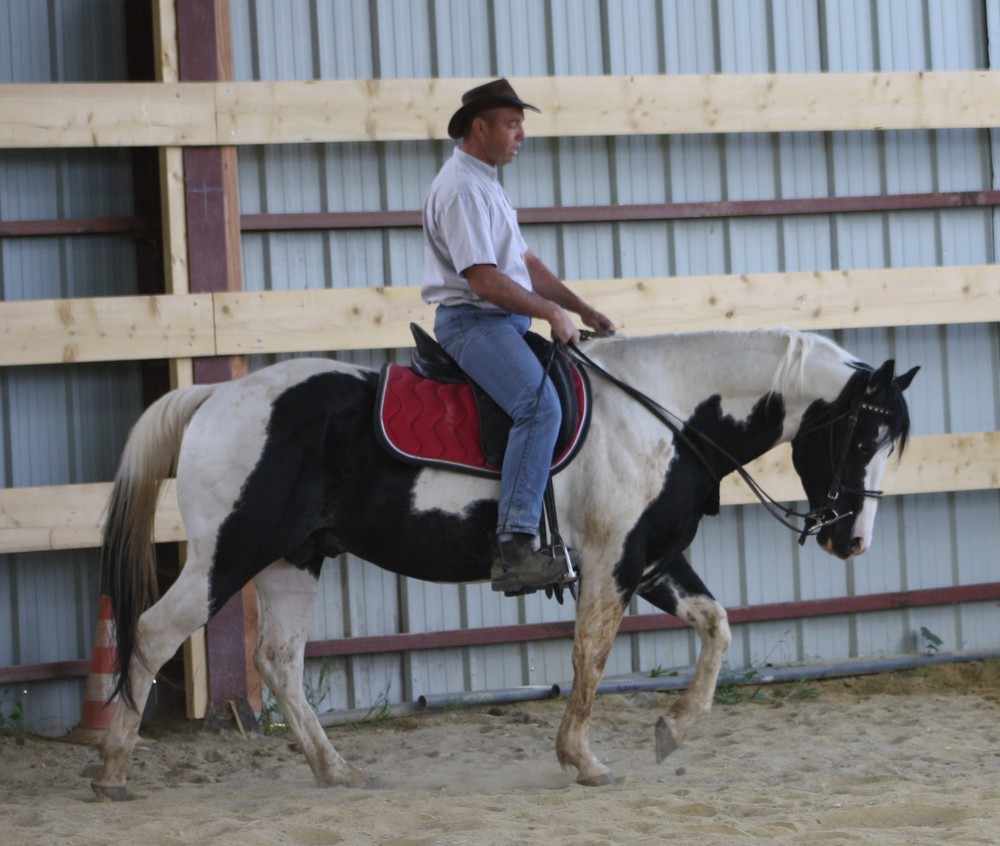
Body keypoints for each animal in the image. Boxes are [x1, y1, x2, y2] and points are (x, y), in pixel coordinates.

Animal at [90, 328, 916, 800]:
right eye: (860, 437)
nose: (852, 539)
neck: (662, 412)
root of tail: (217, 396)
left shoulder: (653, 559)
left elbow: (717, 626)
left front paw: (673, 730)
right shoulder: (611, 561)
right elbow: (590, 657)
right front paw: (583, 759)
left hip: (295, 559)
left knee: (279, 660)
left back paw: (334, 770)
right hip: (229, 553)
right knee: (156, 631)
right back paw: (113, 770)